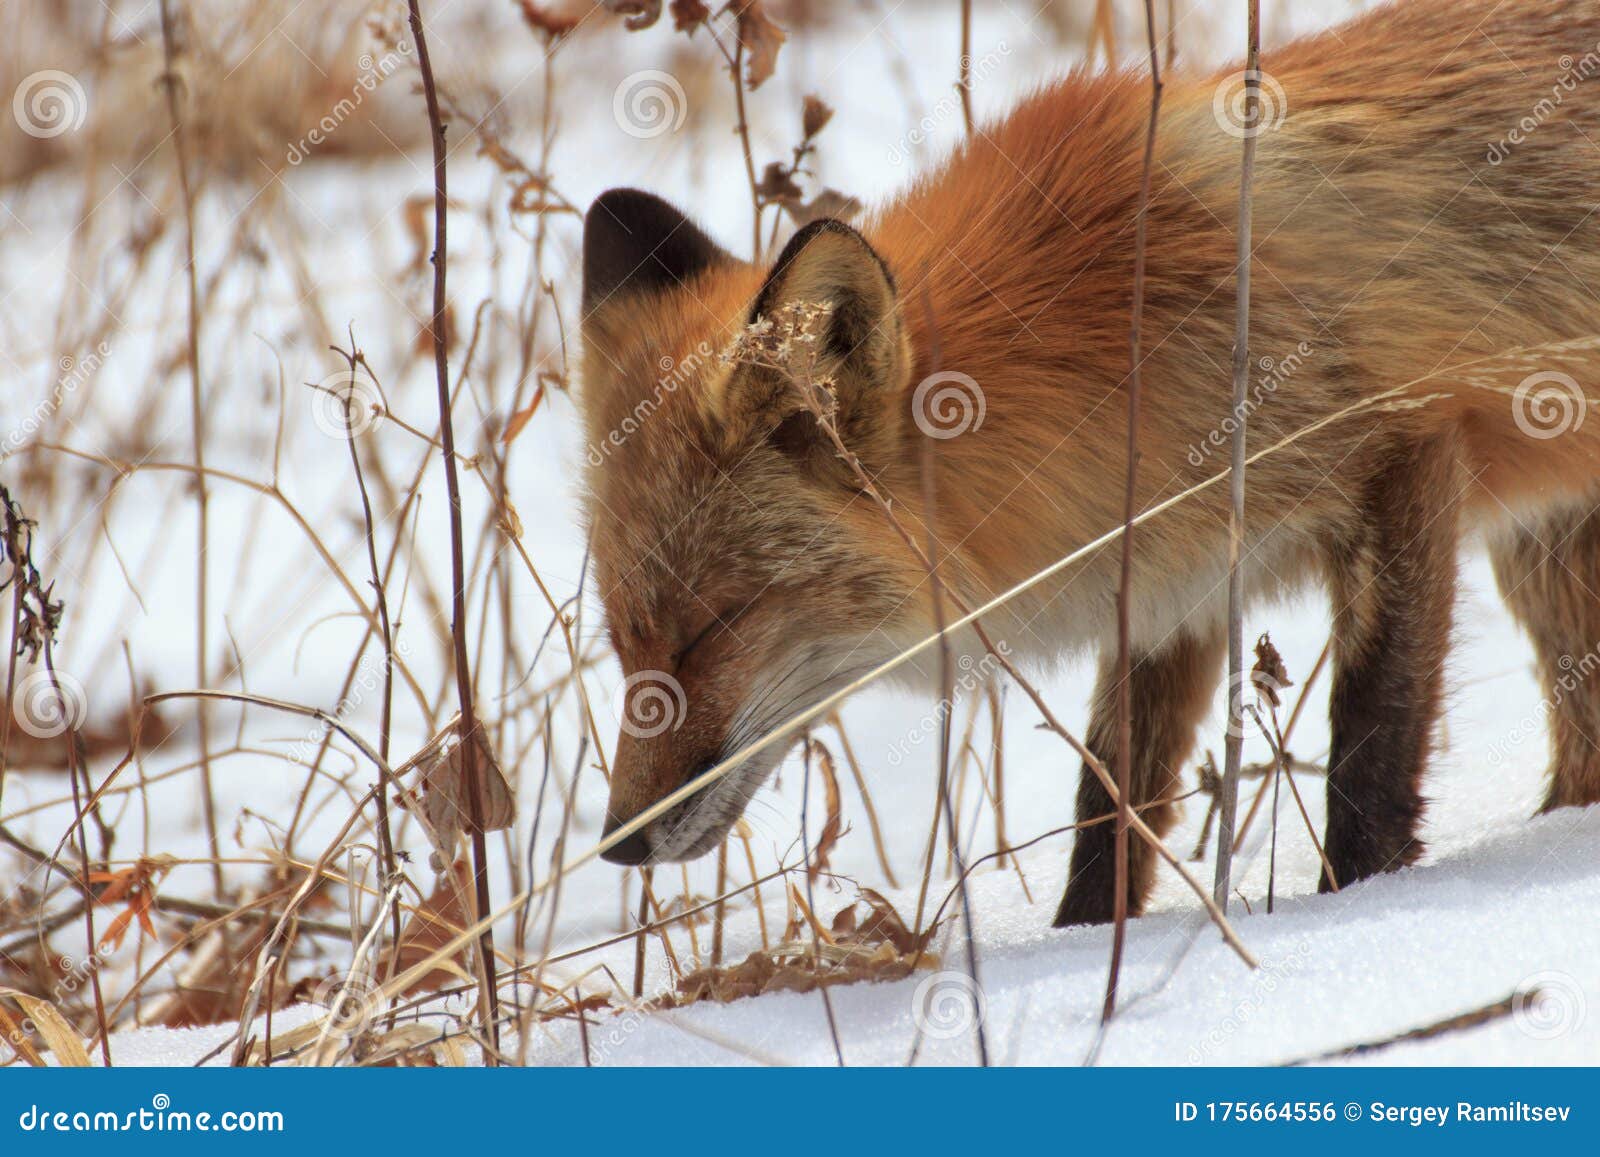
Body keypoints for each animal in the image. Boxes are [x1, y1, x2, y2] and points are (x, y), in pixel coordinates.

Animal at [582, 0, 1600, 928]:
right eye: (626, 642)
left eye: (708, 629)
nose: (618, 844)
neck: (1114, 324)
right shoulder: (1167, 576)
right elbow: (1110, 802)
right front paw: (1083, 950)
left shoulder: (1406, 449)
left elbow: (1370, 743)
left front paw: (1360, 905)